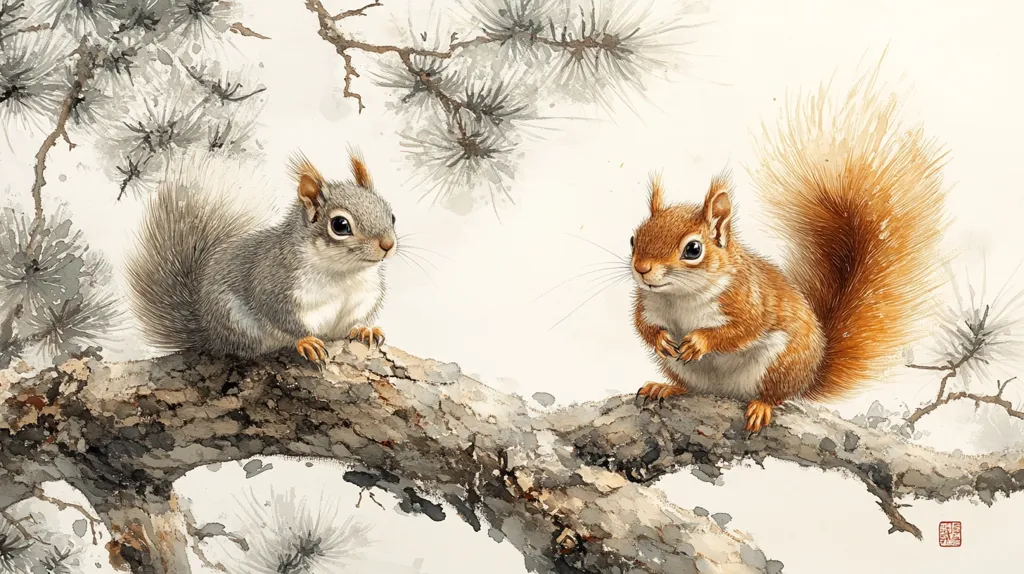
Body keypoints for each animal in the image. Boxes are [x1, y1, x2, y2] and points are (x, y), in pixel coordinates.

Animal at [125, 149, 398, 363]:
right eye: (340, 225)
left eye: (392, 215)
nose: (388, 244)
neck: (344, 273)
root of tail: (209, 333)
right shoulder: (275, 286)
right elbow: (281, 317)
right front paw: (306, 340)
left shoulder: (363, 298)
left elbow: (354, 321)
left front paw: (365, 329)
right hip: (236, 320)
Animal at [629, 69, 948, 432]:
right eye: (633, 239)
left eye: (693, 249)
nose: (641, 269)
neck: (679, 297)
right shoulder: (647, 305)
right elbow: (643, 326)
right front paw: (660, 339)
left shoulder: (748, 301)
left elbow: (741, 330)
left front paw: (700, 341)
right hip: (685, 371)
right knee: (690, 386)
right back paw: (666, 387)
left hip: (780, 362)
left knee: (775, 394)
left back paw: (761, 406)